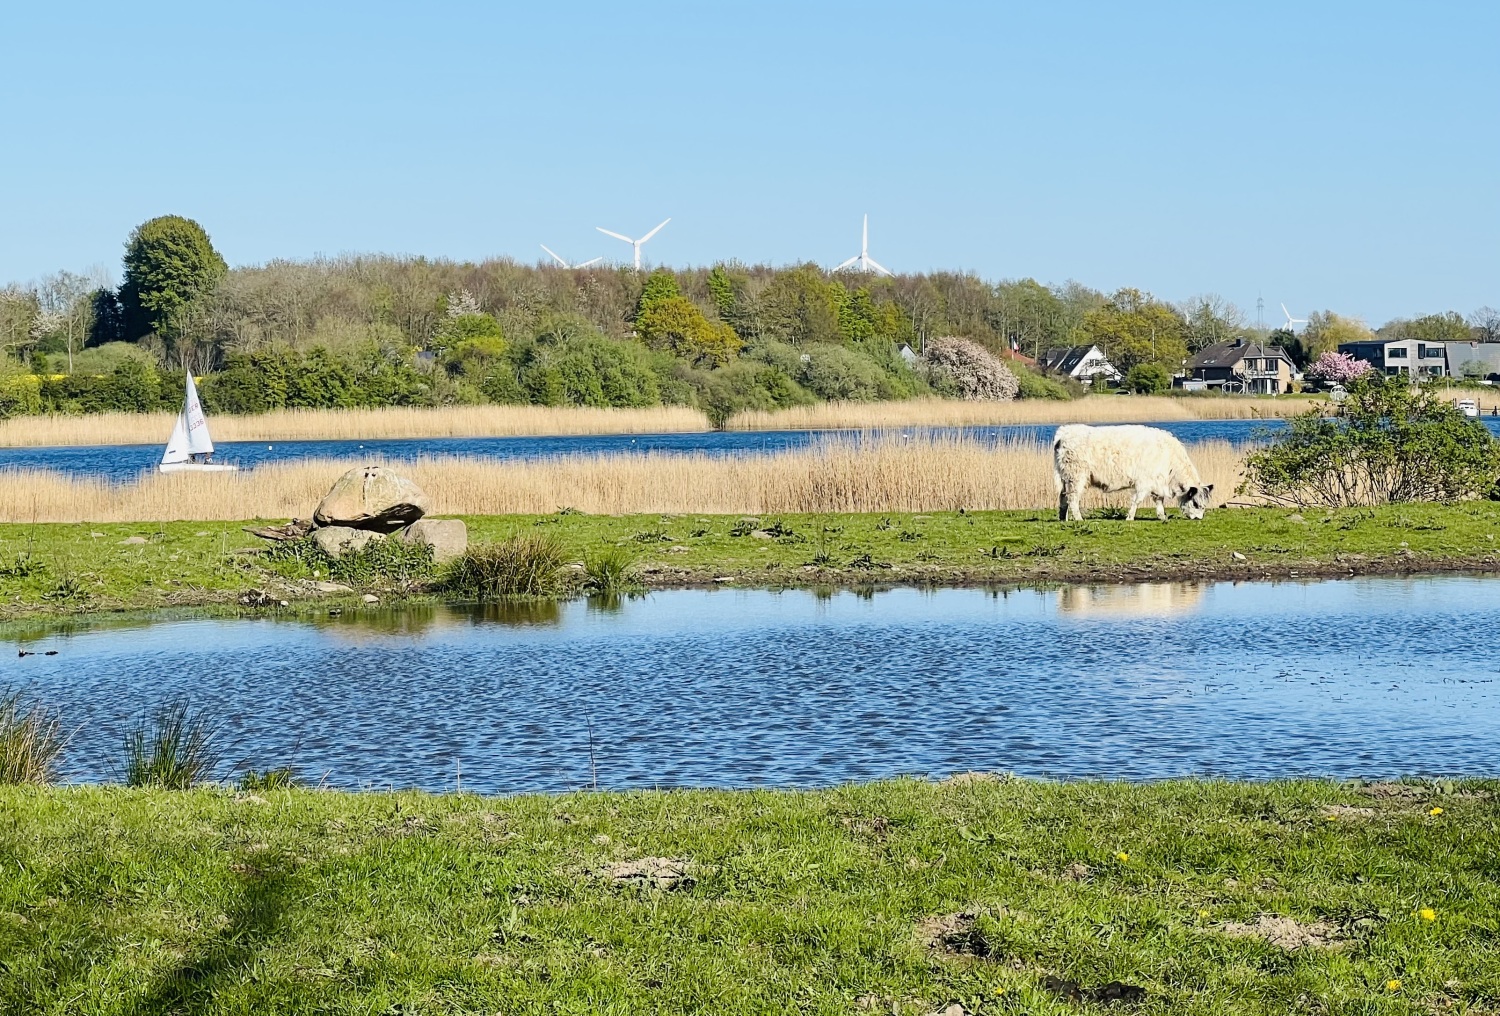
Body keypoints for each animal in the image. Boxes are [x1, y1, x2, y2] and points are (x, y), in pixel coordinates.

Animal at [1052, 424, 1214, 522]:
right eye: (1196, 503)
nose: (1198, 518)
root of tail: (1065, 431)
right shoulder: (1144, 482)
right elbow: (1137, 500)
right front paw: (1130, 517)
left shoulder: (1157, 483)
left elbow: (1159, 501)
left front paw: (1162, 517)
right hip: (1076, 477)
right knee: (1072, 499)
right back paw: (1078, 519)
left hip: (1066, 478)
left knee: (1063, 497)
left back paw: (1062, 519)